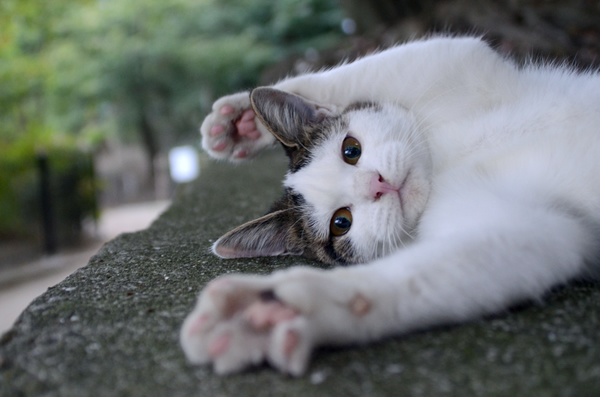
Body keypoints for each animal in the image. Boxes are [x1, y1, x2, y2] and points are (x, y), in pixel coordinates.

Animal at [180, 35, 600, 376]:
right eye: (341, 223)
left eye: (351, 149)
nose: (378, 184)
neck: (443, 164)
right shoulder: (536, 225)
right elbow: (453, 266)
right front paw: (279, 311)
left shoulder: (457, 63)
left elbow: (365, 71)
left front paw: (244, 120)